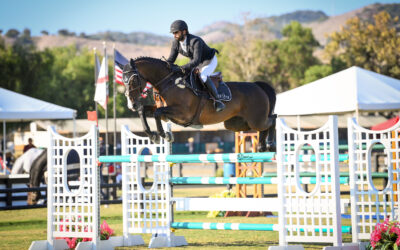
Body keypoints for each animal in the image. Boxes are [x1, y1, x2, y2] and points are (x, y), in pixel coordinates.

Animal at [123, 56, 276, 151]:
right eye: (123, 81)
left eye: (133, 80)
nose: (131, 105)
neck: (168, 83)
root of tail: (258, 86)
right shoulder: (165, 112)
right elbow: (144, 110)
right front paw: (153, 136)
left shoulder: (183, 113)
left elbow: (156, 113)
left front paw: (165, 135)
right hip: (237, 124)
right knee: (264, 126)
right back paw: (262, 146)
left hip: (256, 120)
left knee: (272, 119)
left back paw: (270, 145)